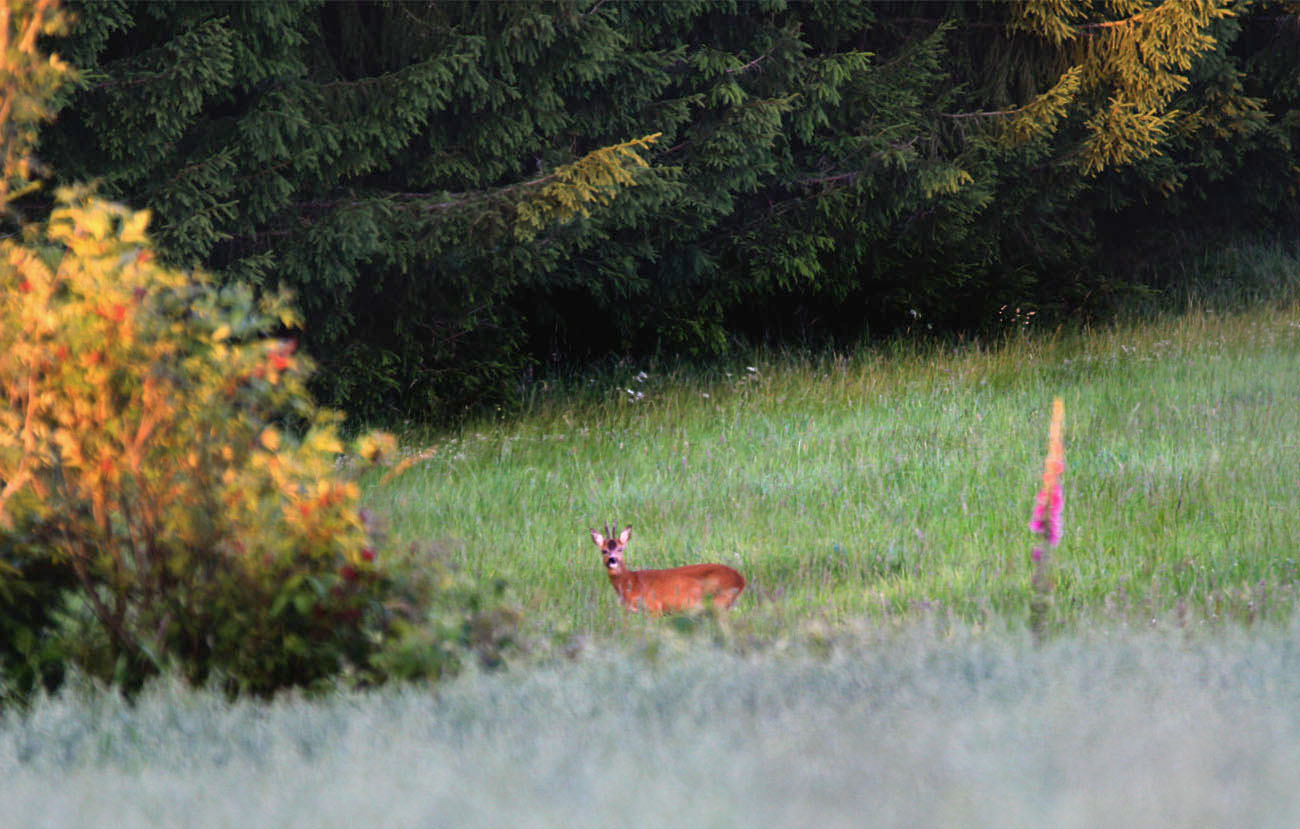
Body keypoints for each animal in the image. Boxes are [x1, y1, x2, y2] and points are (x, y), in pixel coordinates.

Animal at [590, 524, 743, 618]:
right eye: (603, 550)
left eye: (620, 549)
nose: (612, 560)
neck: (631, 582)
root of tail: (741, 580)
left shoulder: (654, 607)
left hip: (718, 601)